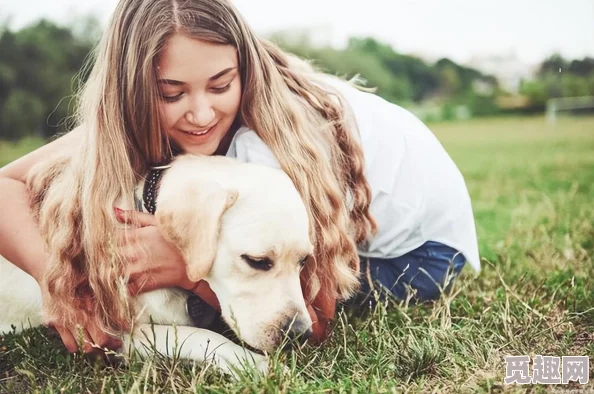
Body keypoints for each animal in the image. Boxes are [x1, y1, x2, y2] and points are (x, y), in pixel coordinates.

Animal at [0, 154, 312, 376]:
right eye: (257, 261)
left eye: (303, 261)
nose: (300, 334)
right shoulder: (118, 334)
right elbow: (202, 336)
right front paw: (254, 364)